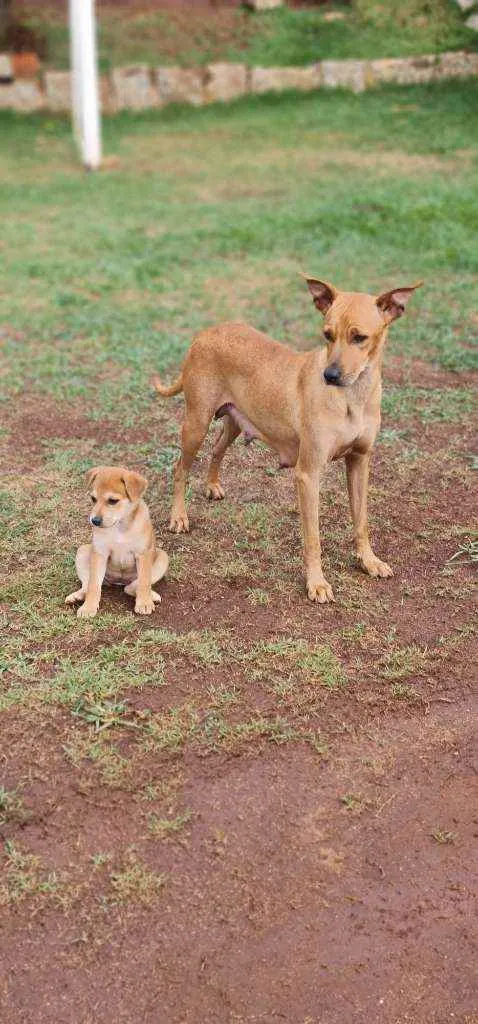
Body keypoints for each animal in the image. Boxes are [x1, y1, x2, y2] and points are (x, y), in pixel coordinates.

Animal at [65, 464, 168, 614]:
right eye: (93, 499)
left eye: (113, 501)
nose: (94, 521)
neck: (119, 526)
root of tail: (119, 581)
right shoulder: (100, 553)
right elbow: (93, 585)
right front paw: (89, 607)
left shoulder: (143, 554)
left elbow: (144, 581)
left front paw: (144, 603)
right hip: (83, 552)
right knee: (87, 584)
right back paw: (78, 596)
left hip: (162, 558)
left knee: (134, 585)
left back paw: (149, 594)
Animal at [153, 276, 419, 602]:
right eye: (327, 335)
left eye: (360, 337)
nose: (330, 375)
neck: (352, 397)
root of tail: (205, 333)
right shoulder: (308, 474)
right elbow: (313, 538)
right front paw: (316, 583)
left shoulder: (359, 462)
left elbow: (361, 522)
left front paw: (368, 561)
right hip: (196, 424)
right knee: (180, 468)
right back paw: (178, 517)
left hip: (233, 422)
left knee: (216, 449)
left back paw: (212, 485)